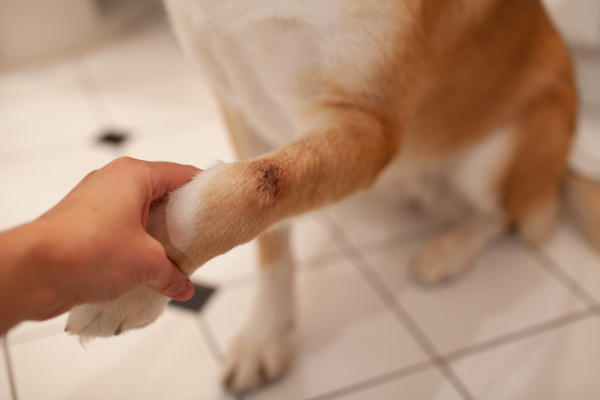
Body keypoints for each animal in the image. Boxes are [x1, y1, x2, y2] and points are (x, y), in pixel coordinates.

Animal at [65, 0, 600, 394]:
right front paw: (266, 336)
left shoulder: (368, 124)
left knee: (510, 215)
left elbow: (257, 186)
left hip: (496, 154)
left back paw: (450, 249)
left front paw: (127, 278)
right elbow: (270, 237)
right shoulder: (240, 103)